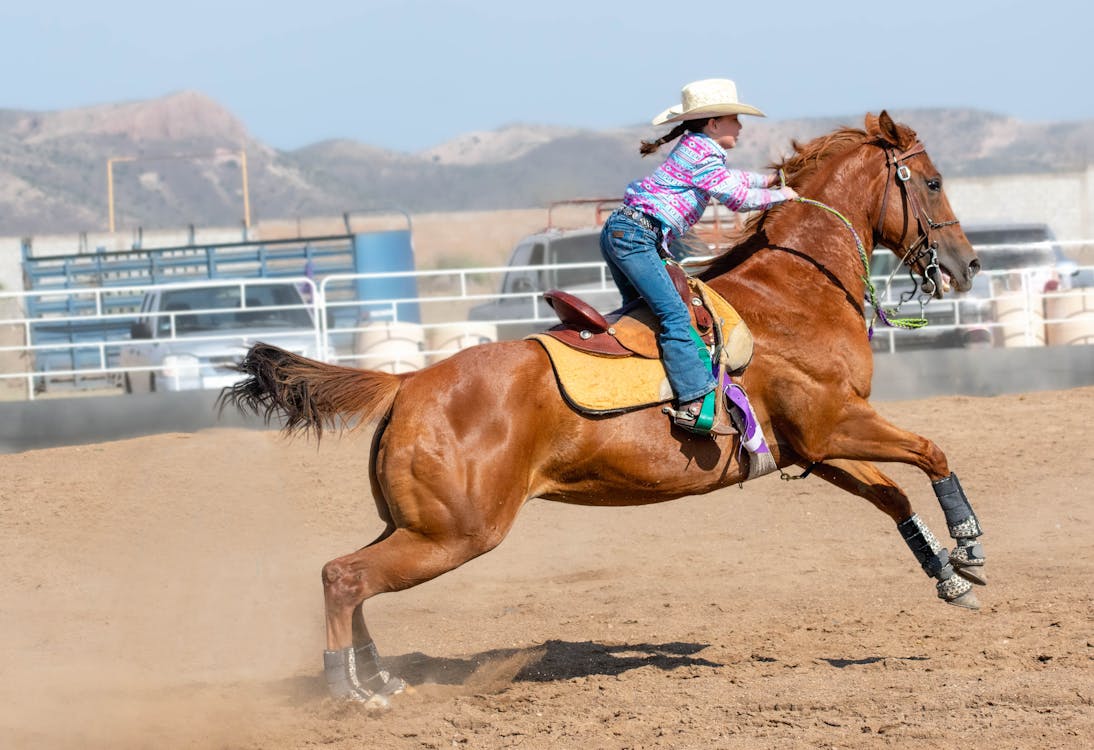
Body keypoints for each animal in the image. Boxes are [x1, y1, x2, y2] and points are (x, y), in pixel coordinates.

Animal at [220, 111, 985, 708]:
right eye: (934, 181)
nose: (967, 266)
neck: (795, 293)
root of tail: (407, 383)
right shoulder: (835, 425)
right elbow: (932, 452)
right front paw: (971, 541)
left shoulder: (814, 448)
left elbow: (891, 497)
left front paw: (951, 576)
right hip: (456, 534)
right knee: (344, 578)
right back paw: (350, 690)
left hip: (417, 524)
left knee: (348, 577)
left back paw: (376, 679)